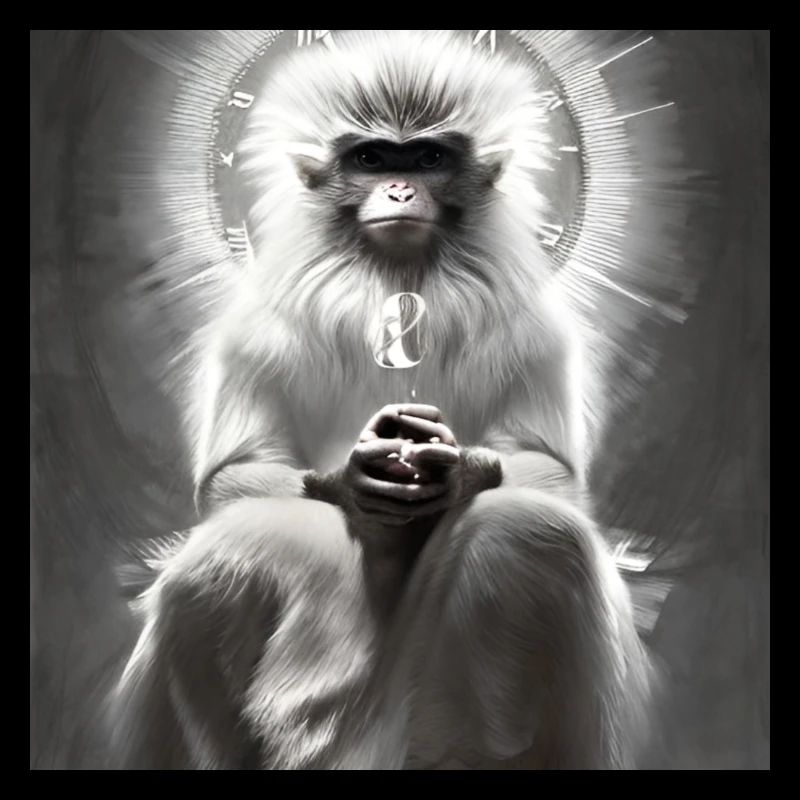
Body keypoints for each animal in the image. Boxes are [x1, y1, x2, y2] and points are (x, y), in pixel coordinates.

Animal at [111, 30, 653, 770]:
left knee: (533, 533)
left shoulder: (538, 327)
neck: (398, 287)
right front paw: (351, 479)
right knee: (219, 566)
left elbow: (554, 475)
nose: (399, 188)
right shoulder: (252, 326)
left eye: (427, 158)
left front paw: (460, 472)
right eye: (369, 159)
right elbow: (232, 478)